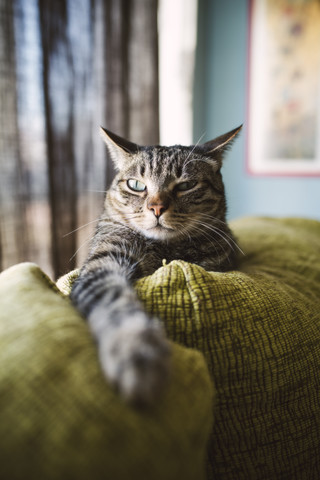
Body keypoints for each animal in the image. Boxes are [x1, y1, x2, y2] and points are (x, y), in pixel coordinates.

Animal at [69, 124, 240, 404]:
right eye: (136, 185)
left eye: (187, 185)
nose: (156, 208)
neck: (163, 250)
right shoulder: (105, 260)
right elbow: (115, 301)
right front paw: (135, 349)